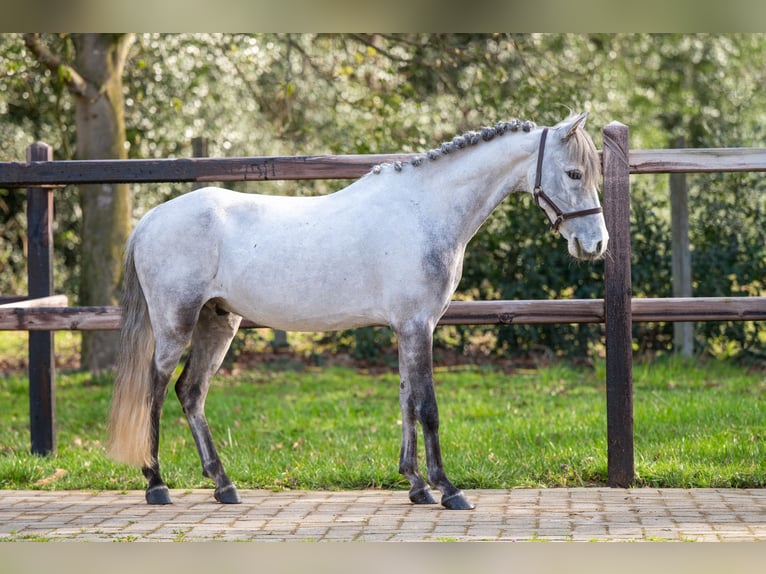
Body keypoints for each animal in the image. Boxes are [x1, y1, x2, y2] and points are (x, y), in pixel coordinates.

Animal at [107, 112, 608, 511]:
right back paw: (156, 483)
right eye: (573, 172)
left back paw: (223, 484)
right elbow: (427, 406)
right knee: (154, 391)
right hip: (176, 325)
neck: (424, 210)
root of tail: (150, 220)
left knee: (191, 393)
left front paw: (416, 486)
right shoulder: (418, 326)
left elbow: (406, 399)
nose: (596, 244)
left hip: (219, 322)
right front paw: (448, 489)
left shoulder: (408, 328)